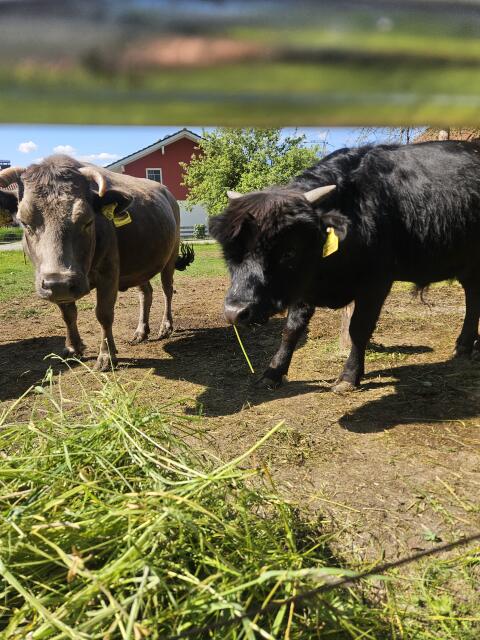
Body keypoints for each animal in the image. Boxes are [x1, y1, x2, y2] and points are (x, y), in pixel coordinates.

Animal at [0, 156, 194, 371]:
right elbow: (68, 314)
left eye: (88, 221)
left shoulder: (108, 274)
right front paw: (72, 348)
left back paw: (165, 327)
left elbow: (104, 314)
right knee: (146, 293)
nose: (59, 283)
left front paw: (107, 356)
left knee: (167, 290)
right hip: (139, 266)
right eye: (25, 222)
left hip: (170, 257)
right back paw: (141, 332)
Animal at [209, 140, 480, 393]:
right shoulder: (304, 283)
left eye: (289, 251)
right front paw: (273, 372)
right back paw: (464, 346)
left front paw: (349, 376)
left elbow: (359, 329)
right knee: (472, 296)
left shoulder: (376, 282)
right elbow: (291, 329)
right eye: (230, 253)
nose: (235, 312)